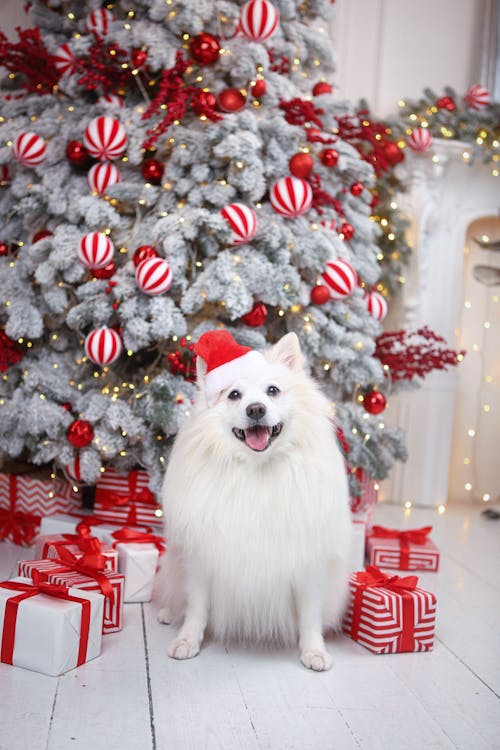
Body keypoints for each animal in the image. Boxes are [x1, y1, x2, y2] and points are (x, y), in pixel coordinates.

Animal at [157, 332, 352, 672]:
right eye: (234, 395)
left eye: (273, 391)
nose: (256, 409)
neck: (256, 469)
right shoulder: (200, 558)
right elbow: (197, 607)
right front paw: (188, 640)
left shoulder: (308, 563)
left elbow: (310, 615)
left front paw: (313, 650)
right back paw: (169, 613)